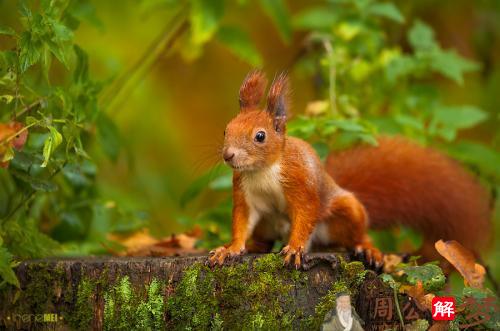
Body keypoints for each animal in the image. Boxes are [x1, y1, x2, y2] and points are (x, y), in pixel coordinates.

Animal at [208, 70, 492, 270]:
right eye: (225, 130)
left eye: (260, 136)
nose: (228, 155)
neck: (263, 170)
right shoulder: (244, 193)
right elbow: (241, 221)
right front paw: (231, 248)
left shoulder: (301, 182)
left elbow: (305, 213)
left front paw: (295, 248)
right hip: (267, 225)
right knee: (265, 240)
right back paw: (254, 245)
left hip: (347, 210)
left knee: (356, 234)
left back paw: (368, 249)